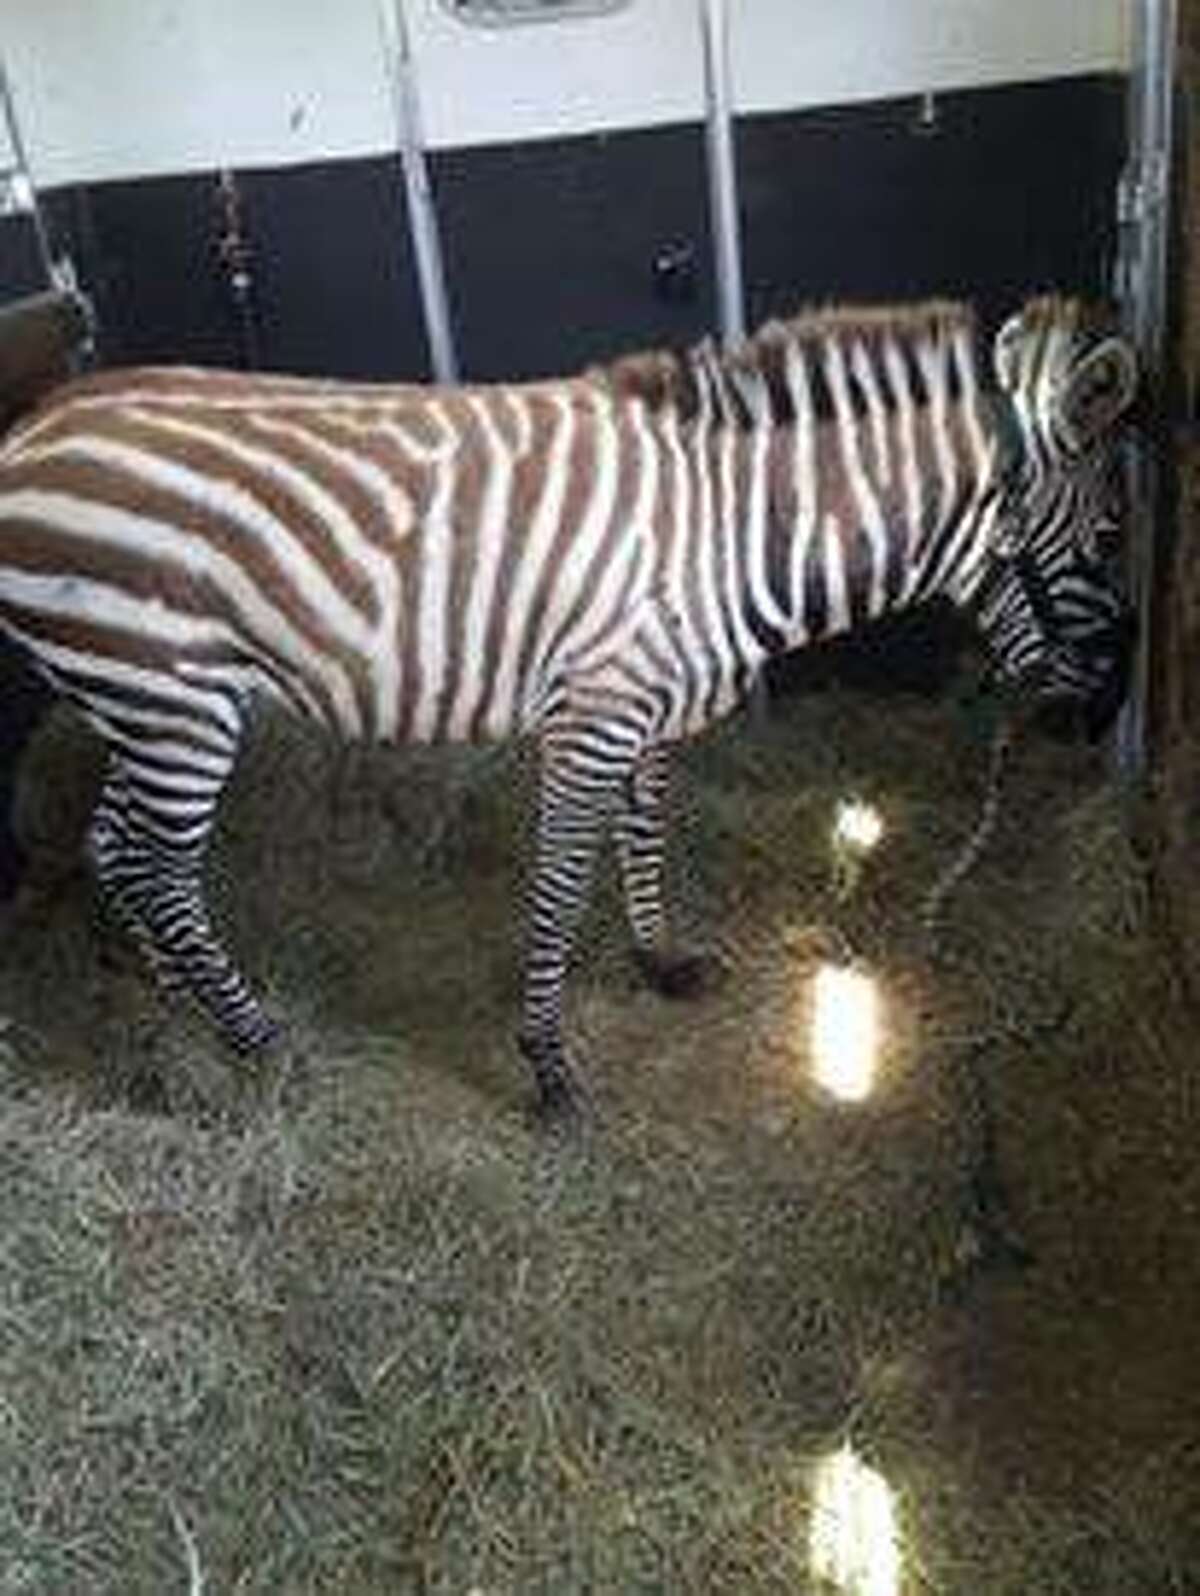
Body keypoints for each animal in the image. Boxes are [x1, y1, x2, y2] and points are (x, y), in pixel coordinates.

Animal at [0, 295, 1135, 1116]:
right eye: (1112, 534)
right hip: (175, 699)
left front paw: (659, 960)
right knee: (158, 865)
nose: (1105, 702)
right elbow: (558, 883)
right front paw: (548, 1066)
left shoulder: (649, 706)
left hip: (140, 703)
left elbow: (646, 829)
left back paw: (179, 1013)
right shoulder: (595, 716)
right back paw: (259, 1041)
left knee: (117, 850)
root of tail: (34, 429)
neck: (730, 532)